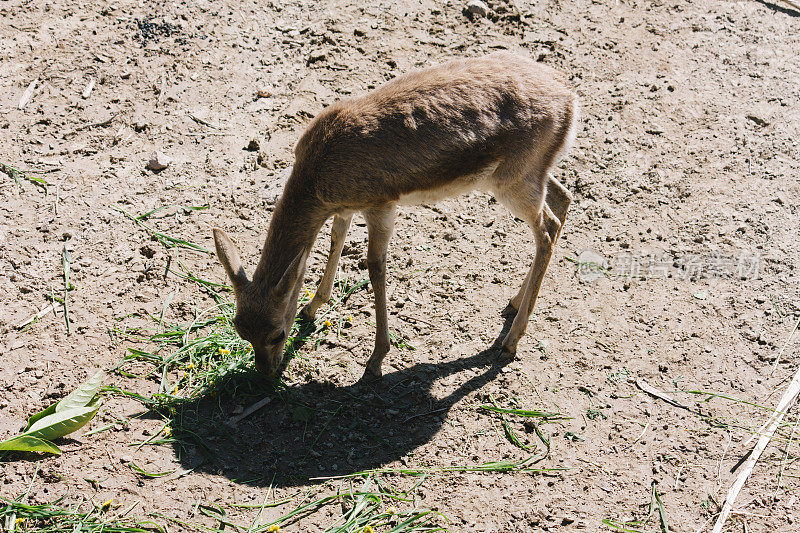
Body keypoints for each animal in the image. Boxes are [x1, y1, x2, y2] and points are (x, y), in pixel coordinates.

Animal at [209, 51, 580, 378]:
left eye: (277, 333)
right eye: (240, 328)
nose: (266, 372)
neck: (318, 170)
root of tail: (569, 95)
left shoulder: (381, 206)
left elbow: (375, 266)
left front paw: (375, 360)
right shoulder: (345, 207)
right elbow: (335, 241)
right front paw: (311, 308)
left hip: (512, 184)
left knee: (548, 228)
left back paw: (509, 342)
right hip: (527, 176)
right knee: (563, 199)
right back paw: (514, 303)